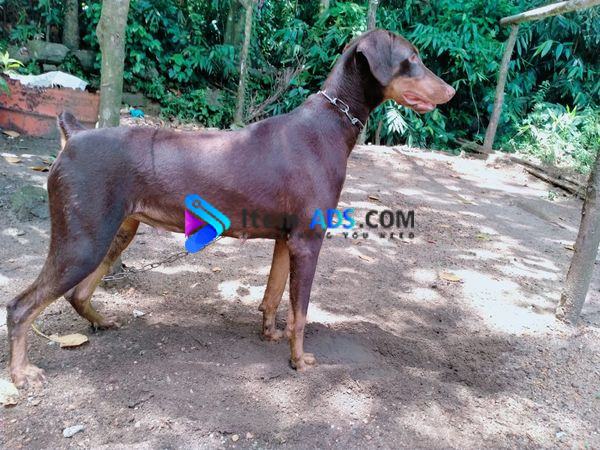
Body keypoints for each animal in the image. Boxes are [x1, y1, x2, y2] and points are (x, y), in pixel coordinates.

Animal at [6, 29, 454, 387]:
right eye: (412, 59)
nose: (451, 92)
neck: (330, 123)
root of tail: (74, 135)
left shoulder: (286, 239)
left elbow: (273, 295)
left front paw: (270, 335)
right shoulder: (308, 240)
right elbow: (301, 312)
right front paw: (299, 361)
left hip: (117, 231)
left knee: (78, 292)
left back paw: (102, 323)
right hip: (82, 238)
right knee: (20, 307)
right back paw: (21, 375)